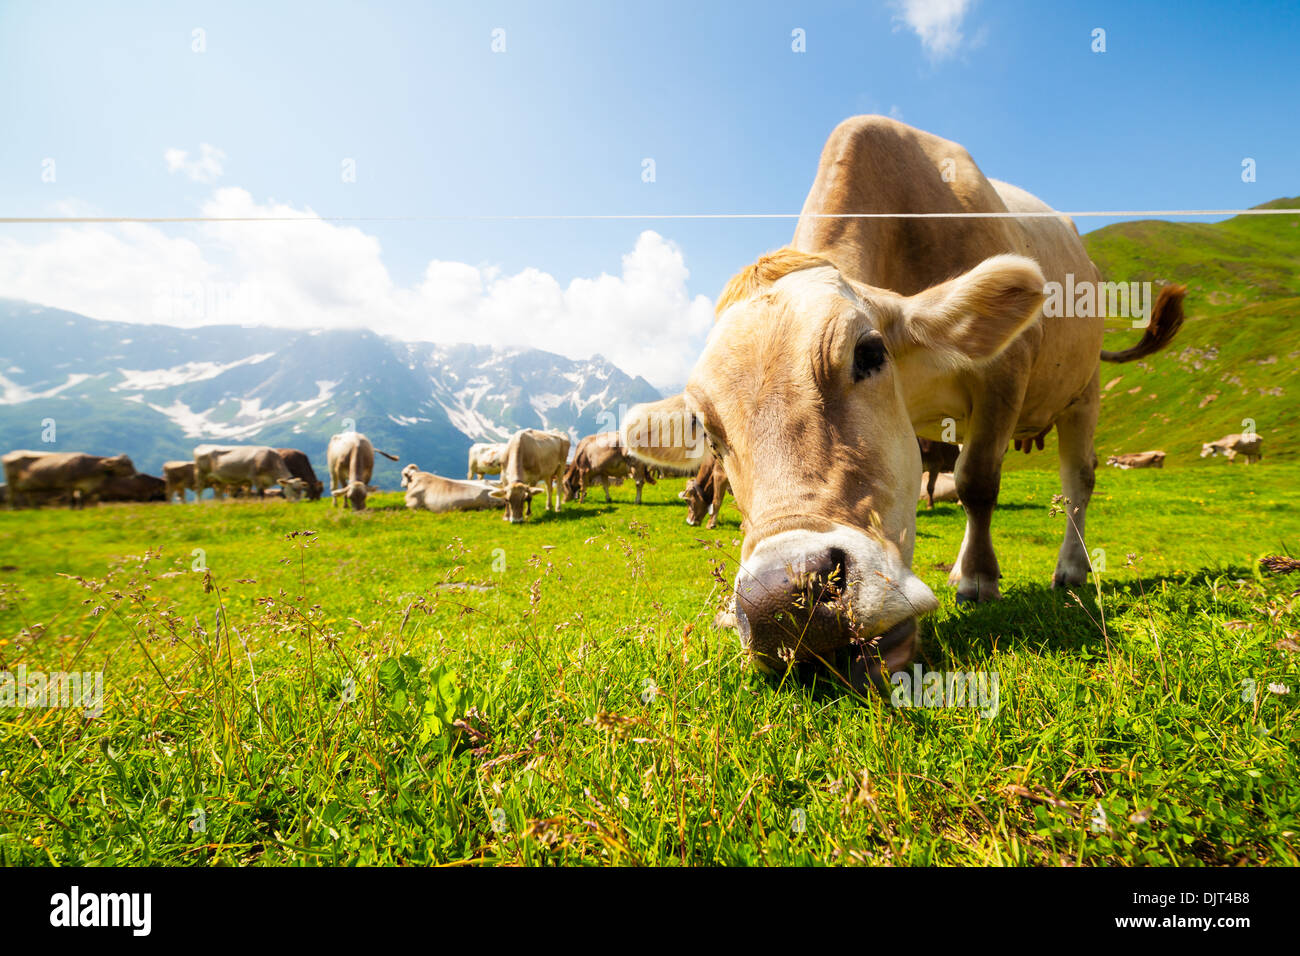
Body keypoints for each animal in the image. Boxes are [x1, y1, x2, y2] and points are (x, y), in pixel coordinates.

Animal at [1, 450, 135, 509]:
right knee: (11, 495)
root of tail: (10, 454)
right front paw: (71, 508)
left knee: (29, 495)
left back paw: (35, 508)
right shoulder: (68, 484)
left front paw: (80, 508)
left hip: (28, 484)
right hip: (12, 482)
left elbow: (80, 498)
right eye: (125, 464)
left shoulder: (81, 486)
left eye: (130, 463)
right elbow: (71, 498)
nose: (135, 473)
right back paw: (12, 508)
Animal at [624, 115, 1185, 676]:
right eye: (708, 430)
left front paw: (981, 579)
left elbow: (977, 481)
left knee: (1077, 480)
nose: (782, 601)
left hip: (1082, 390)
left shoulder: (1005, 369)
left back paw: (1070, 567)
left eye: (870, 353)